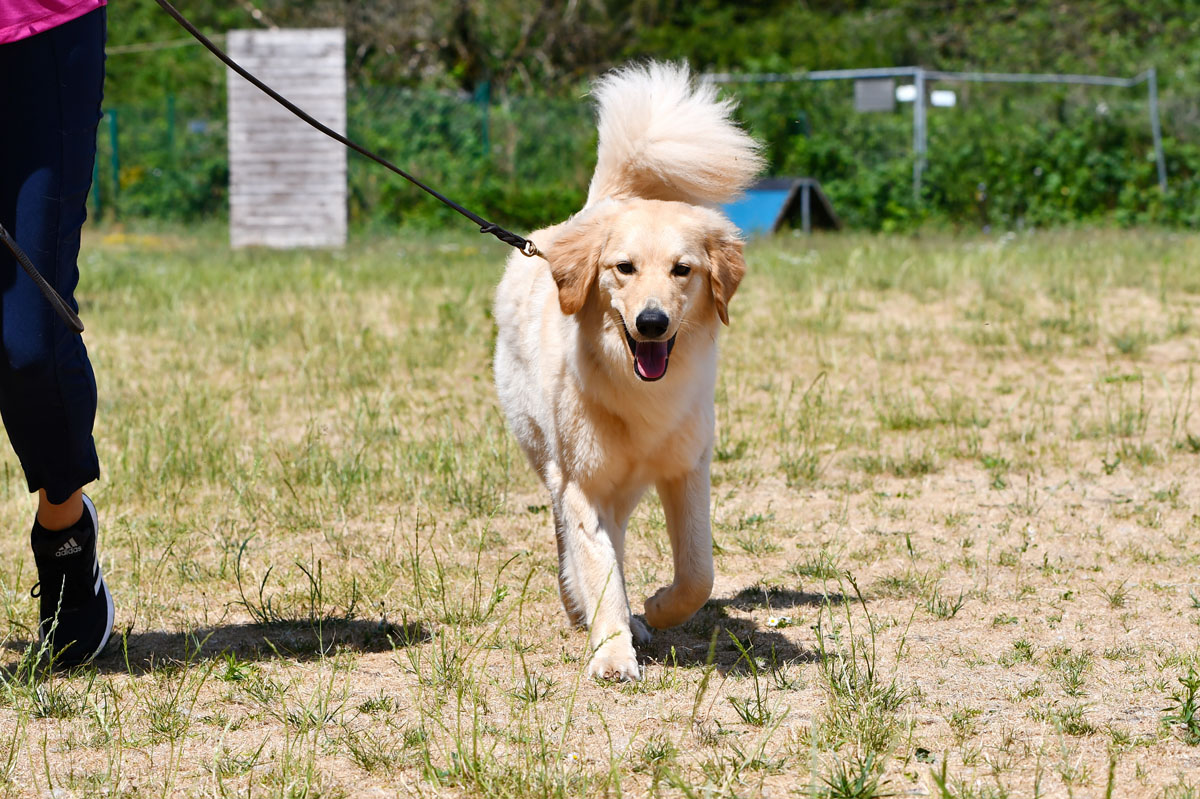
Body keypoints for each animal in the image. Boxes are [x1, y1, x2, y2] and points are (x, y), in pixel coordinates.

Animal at [494, 60, 758, 676]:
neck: (638, 392)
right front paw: (613, 652)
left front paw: (659, 607)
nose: (652, 322)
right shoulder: (582, 484)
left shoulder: (686, 470)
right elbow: (599, 566)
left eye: (683, 269)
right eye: (624, 268)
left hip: (627, 485)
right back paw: (581, 610)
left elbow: (698, 572)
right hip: (552, 461)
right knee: (572, 545)